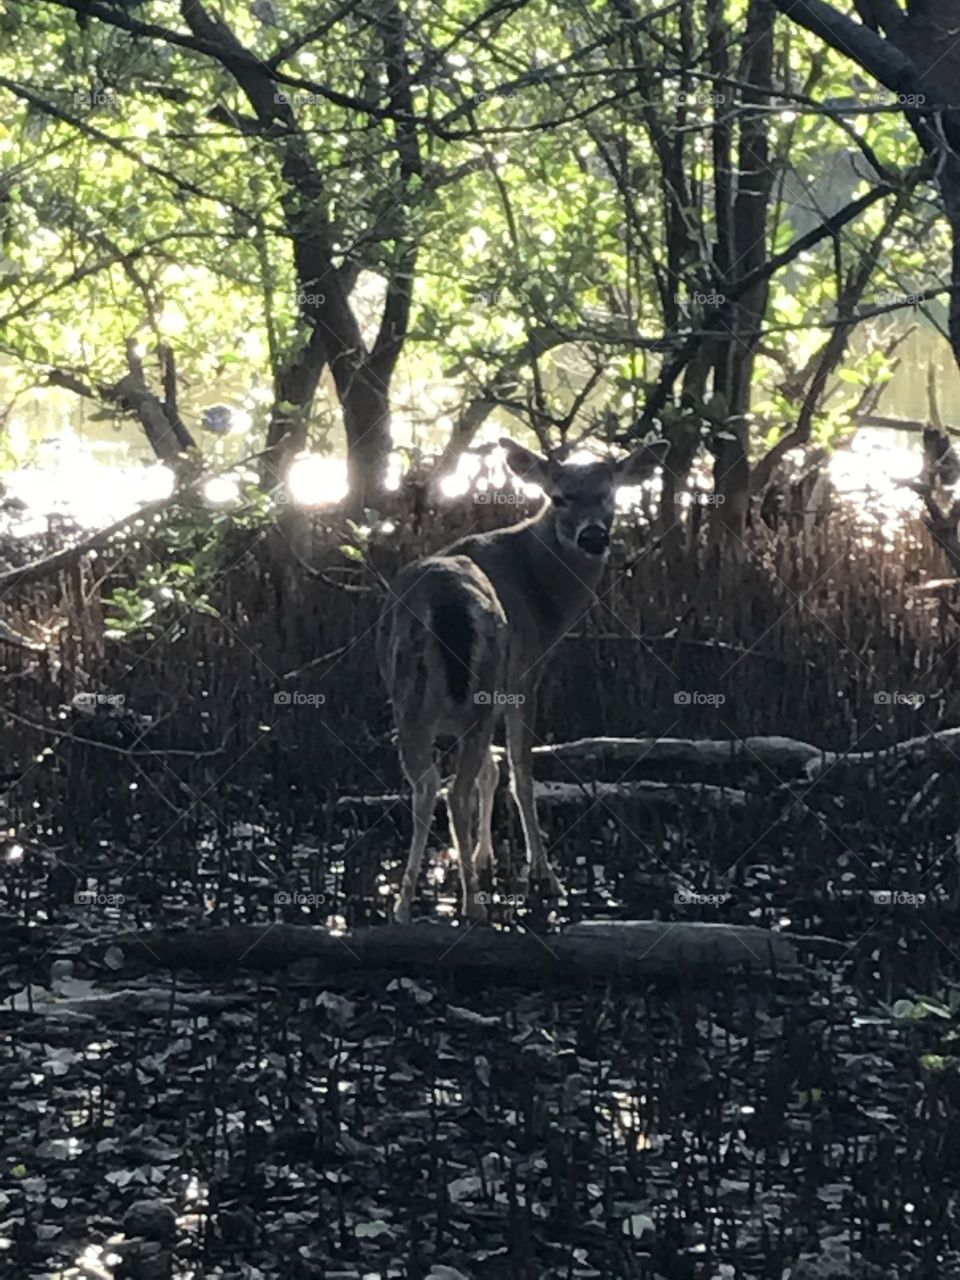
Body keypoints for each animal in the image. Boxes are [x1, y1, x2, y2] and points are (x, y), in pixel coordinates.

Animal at [377, 436, 669, 924]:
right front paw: (543, 874)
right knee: (454, 790)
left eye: (610, 494)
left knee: (426, 785)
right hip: (478, 686)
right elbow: (519, 770)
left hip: (409, 696)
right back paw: (472, 905)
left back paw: (404, 903)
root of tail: (445, 597)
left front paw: (483, 858)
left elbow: (491, 771)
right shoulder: (524, 672)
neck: (542, 591)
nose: (594, 536)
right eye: (560, 497)